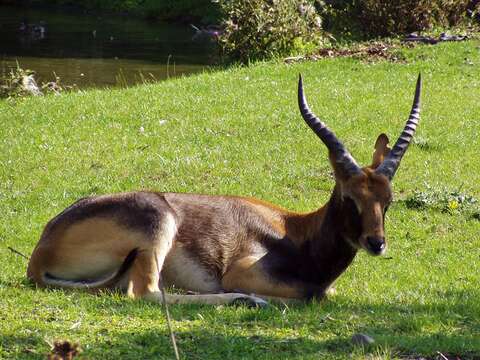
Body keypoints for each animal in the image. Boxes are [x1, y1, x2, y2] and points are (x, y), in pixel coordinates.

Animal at [28, 74, 422, 306]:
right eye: (350, 197)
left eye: (387, 200)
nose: (376, 242)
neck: (298, 233)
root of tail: (41, 253)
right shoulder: (242, 271)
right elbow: (316, 292)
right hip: (158, 224)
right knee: (145, 293)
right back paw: (246, 300)